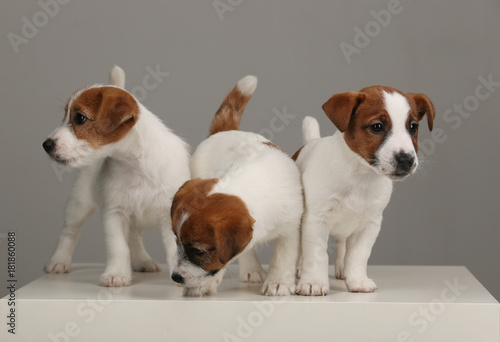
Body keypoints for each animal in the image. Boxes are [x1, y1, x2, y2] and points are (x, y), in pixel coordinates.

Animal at [40, 65, 189, 284]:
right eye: (65, 116)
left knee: (134, 238)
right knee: (69, 232)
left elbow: (172, 250)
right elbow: (118, 247)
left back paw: (142, 261)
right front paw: (116, 274)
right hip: (78, 204)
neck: (136, 166)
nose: (46, 145)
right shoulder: (114, 213)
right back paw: (58, 261)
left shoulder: (169, 215)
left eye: (80, 118)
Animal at [168, 75, 302, 296]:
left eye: (197, 251)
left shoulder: (290, 227)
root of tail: (225, 131)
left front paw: (278, 282)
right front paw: (204, 284)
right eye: (177, 242)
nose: (175, 277)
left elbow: (283, 256)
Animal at [294, 85, 436, 294]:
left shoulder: (370, 224)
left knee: (342, 244)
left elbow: (358, 255)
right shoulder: (316, 220)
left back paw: (342, 269)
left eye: (413, 127)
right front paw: (313, 282)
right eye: (377, 127)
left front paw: (357, 280)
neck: (361, 176)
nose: (406, 160)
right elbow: (316, 254)